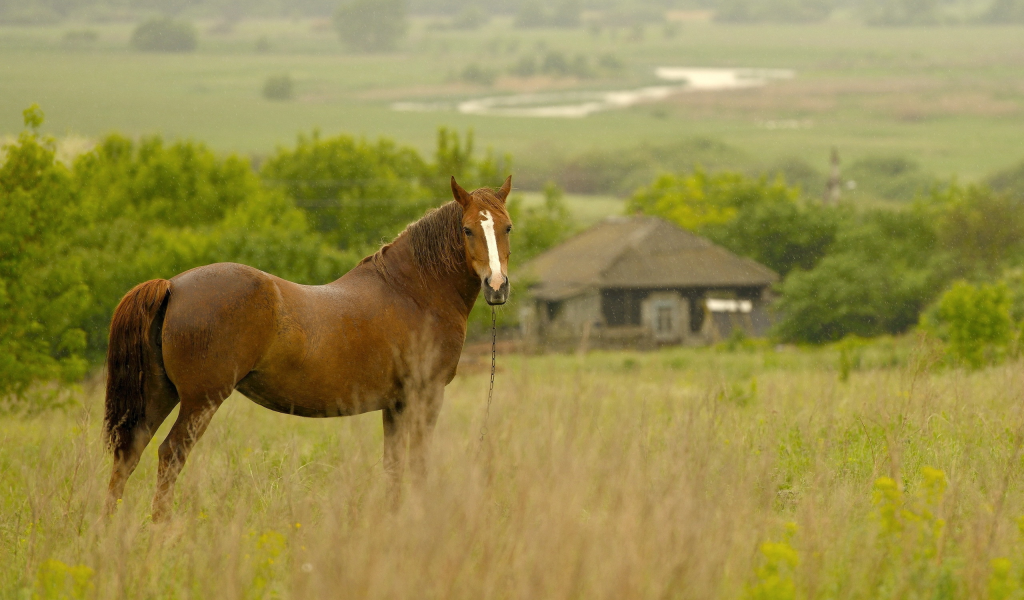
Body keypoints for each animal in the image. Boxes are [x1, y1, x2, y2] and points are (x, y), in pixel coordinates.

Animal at [103, 174, 512, 518]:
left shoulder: (395, 404)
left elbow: (394, 466)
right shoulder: (425, 395)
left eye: (507, 227)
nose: (497, 286)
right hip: (200, 401)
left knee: (129, 454)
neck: (413, 291)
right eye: (467, 229)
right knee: (170, 455)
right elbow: (418, 463)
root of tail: (172, 285)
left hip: (160, 393)